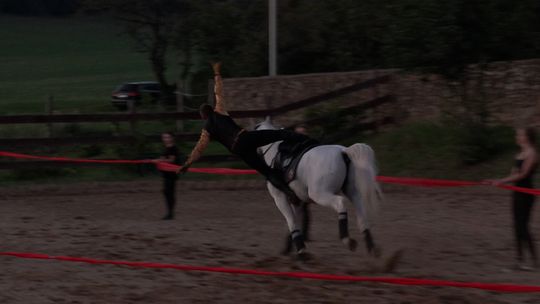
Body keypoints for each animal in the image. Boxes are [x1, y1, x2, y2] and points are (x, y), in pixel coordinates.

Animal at [254, 117, 384, 258]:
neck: (275, 153)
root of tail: (344, 152)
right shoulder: (297, 201)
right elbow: (294, 221)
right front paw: (288, 248)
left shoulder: (280, 198)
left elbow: (291, 221)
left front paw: (300, 249)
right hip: (352, 193)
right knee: (362, 217)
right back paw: (371, 246)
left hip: (319, 194)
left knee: (340, 203)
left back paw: (347, 239)